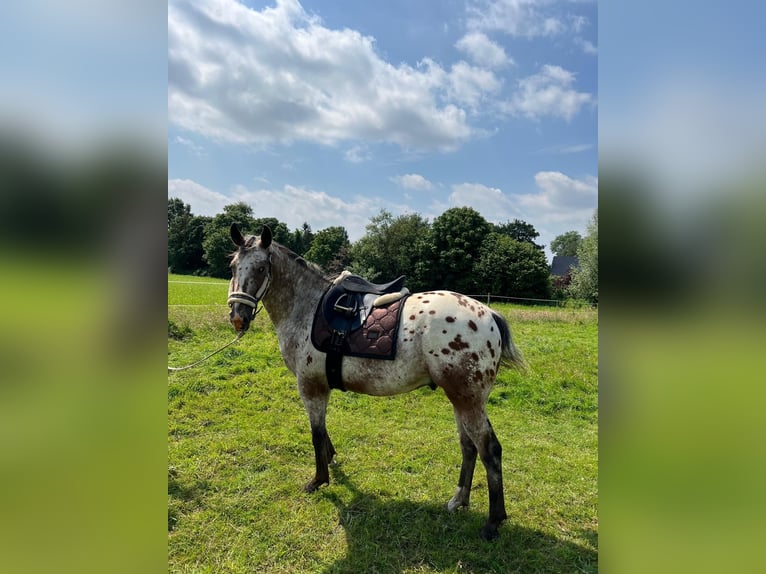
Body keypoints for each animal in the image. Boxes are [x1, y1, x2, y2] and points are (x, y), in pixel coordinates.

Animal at [228, 224, 528, 540]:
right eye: (233, 266)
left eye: (261, 268)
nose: (237, 317)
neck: (307, 308)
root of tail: (489, 315)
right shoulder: (319, 387)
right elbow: (323, 432)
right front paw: (331, 459)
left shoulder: (310, 387)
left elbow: (316, 433)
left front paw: (319, 480)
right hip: (460, 400)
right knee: (468, 446)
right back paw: (459, 500)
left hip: (468, 401)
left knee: (489, 450)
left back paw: (493, 522)